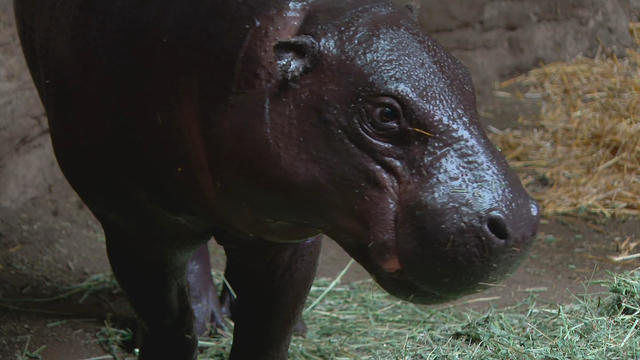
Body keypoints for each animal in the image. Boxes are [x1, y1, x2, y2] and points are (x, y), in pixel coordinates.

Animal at [12, 0, 536, 358]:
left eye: (465, 77)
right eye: (385, 114)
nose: (521, 222)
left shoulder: (288, 232)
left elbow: (269, 330)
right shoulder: (134, 227)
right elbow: (169, 324)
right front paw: (179, 330)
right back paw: (206, 322)